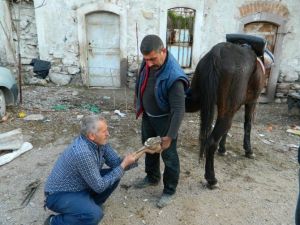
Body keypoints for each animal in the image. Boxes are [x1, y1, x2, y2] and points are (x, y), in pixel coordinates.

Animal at [185, 37, 274, 188]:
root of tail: (216, 53)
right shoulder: (252, 101)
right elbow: (248, 125)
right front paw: (248, 150)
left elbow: (227, 130)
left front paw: (223, 149)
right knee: (211, 142)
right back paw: (211, 179)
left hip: (199, 101)